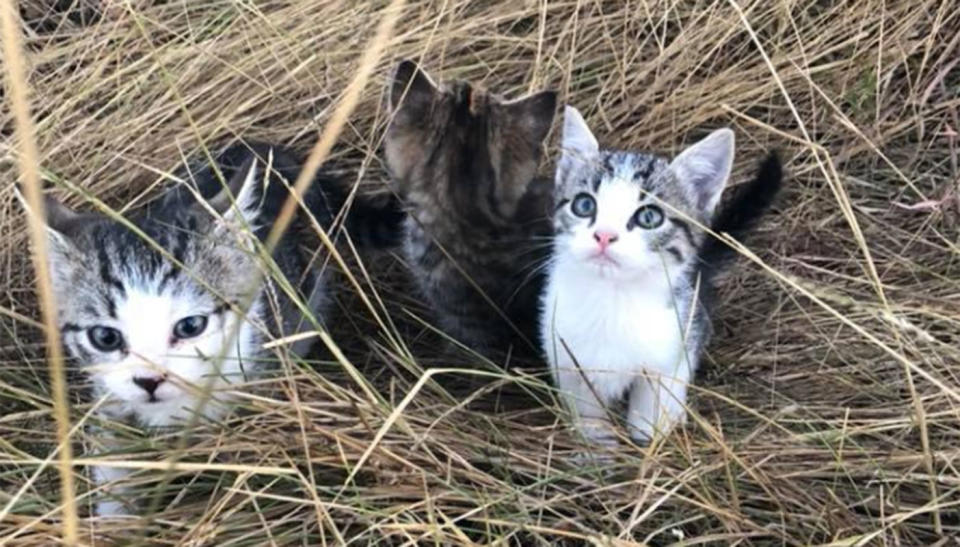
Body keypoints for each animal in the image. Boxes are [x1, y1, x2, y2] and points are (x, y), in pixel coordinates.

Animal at [19, 142, 402, 520]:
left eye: (191, 326)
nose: (149, 380)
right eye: (106, 337)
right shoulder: (109, 396)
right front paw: (115, 518)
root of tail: (260, 146)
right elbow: (112, 456)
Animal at [540, 106, 780, 446]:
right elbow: (585, 406)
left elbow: (653, 403)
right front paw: (594, 439)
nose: (604, 235)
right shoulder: (564, 353)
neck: (613, 299)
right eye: (584, 204)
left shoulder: (677, 343)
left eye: (649, 217)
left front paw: (650, 433)